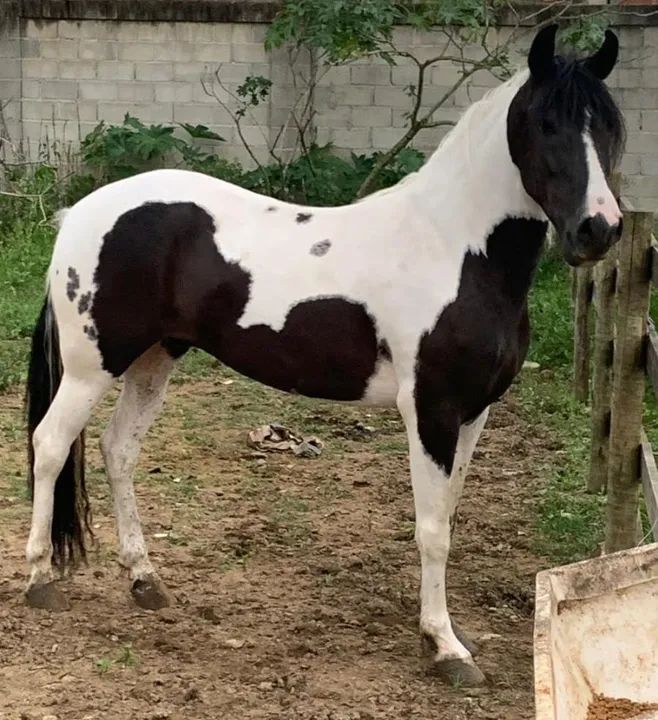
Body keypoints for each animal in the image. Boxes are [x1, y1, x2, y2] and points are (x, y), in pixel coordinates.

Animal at [23, 24, 624, 686]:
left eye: (609, 125)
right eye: (546, 122)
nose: (598, 230)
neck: (457, 251)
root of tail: (80, 213)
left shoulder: (475, 412)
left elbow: (448, 515)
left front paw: (446, 634)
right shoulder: (432, 410)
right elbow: (432, 530)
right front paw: (445, 648)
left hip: (155, 358)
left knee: (119, 449)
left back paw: (144, 581)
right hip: (91, 366)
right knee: (50, 445)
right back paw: (40, 580)